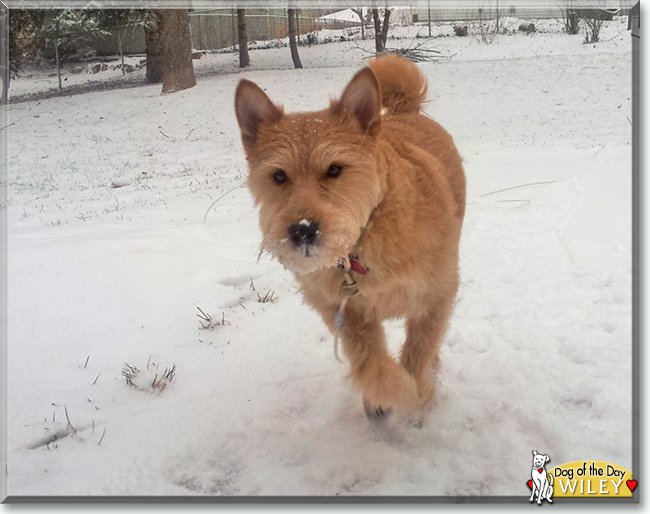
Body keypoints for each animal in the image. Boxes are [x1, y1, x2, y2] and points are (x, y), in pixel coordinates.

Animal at [235, 54, 464, 418]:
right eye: (279, 176)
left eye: (334, 169)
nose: (302, 229)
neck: (361, 246)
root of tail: (404, 112)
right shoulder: (343, 313)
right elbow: (370, 361)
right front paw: (390, 394)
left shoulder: (436, 296)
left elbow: (419, 349)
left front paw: (419, 390)